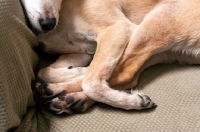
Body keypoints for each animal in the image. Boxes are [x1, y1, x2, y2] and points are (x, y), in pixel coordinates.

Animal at [21, 0, 200, 114]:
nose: (48, 23)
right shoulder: (81, 51)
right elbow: (45, 71)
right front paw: (75, 70)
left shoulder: (117, 30)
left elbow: (91, 80)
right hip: (164, 50)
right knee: (127, 77)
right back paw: (68, 97)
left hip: (154, 25)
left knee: (120, 73)